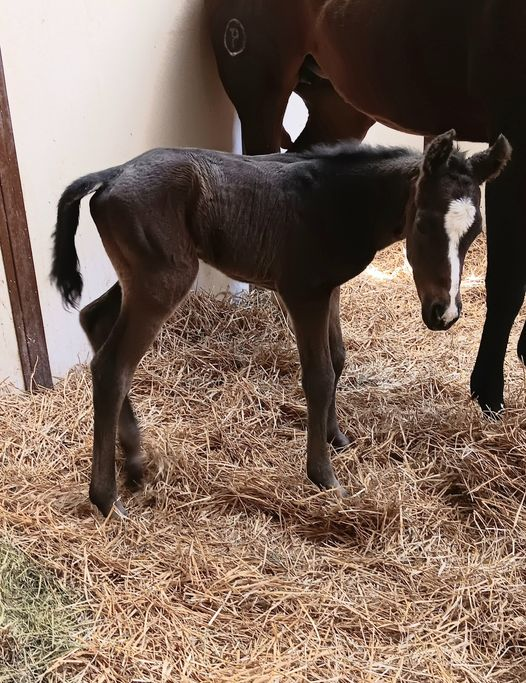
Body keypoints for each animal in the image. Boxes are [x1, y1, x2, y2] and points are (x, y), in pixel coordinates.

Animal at [50, 132, 509, 517]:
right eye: (424, 223)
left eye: (475, 232)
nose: (444, 312)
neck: (341, 201)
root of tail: (111, 175)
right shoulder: (303, 292)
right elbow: (319, 375)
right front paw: (324, 477)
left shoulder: (329, 289)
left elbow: (337, 360)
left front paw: (336, 439)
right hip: (164, 280)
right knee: (113, 367)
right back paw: (107, 499)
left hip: (144, 277)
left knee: (94, 317)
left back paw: (134, 462)